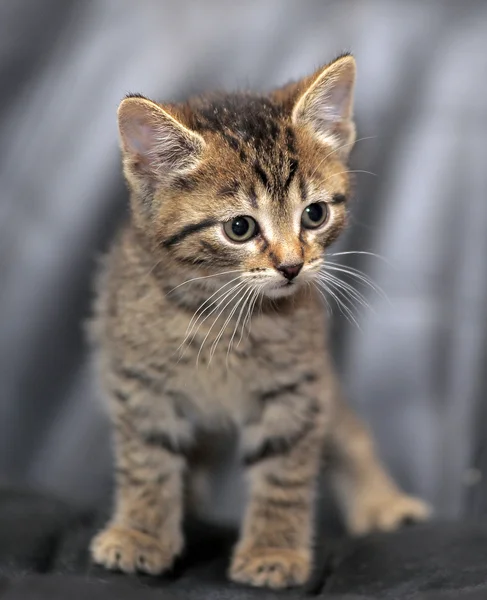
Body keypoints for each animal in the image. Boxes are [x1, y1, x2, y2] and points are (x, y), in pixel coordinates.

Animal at [89, 54, 428, 588]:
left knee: (348, 432)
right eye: (240, 227)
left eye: (314, 214)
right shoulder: (139, 383)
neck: (222, 316)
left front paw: (274, 550)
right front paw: (140, 534)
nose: (292, 266)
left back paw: (382, 503)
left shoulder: (298, 385)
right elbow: (147, 462)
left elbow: (284, 473)